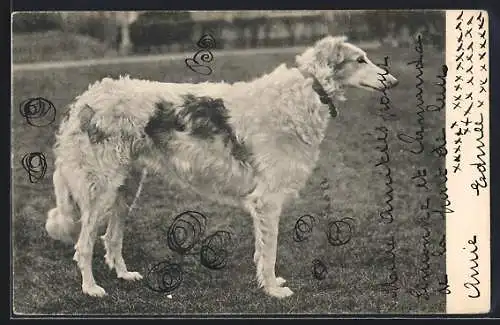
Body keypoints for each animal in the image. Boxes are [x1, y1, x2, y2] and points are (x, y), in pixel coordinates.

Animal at [47, 35, 398, 296]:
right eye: (360, 60)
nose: (393, 81)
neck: (307, 91)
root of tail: (86, 100)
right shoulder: (267, 200)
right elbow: (270, 252)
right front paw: (273, 290)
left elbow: (262, 250)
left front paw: (270, 283)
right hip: (100, 190)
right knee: (83, 245)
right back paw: (91, 288)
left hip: (126, 188)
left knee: (111, 238)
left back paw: (124, 274)